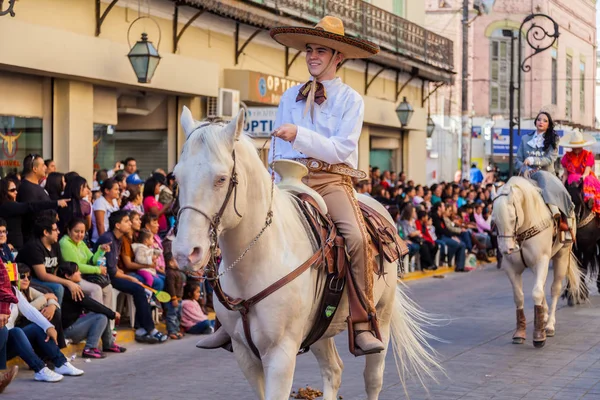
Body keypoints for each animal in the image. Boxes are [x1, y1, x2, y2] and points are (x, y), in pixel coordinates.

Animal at [171, 108, 438, 398]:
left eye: (221, 179)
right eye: (177, 177)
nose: (186, 252)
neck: (258, 261)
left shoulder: (281, 354)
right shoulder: (245, 355)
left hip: (382, 316)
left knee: (372, 378)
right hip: (321, 329)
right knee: (333, 370)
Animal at [492, 177, 580, 348]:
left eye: (512, 218)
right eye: (494, 220)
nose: (506, 249)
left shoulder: (541, 261)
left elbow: (537, 292)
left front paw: (539, 335)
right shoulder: (511, 268)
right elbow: (519, 296)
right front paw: (519, 333)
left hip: (561, 255)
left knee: (554, 289)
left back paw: (549, 324)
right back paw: (544, 316)